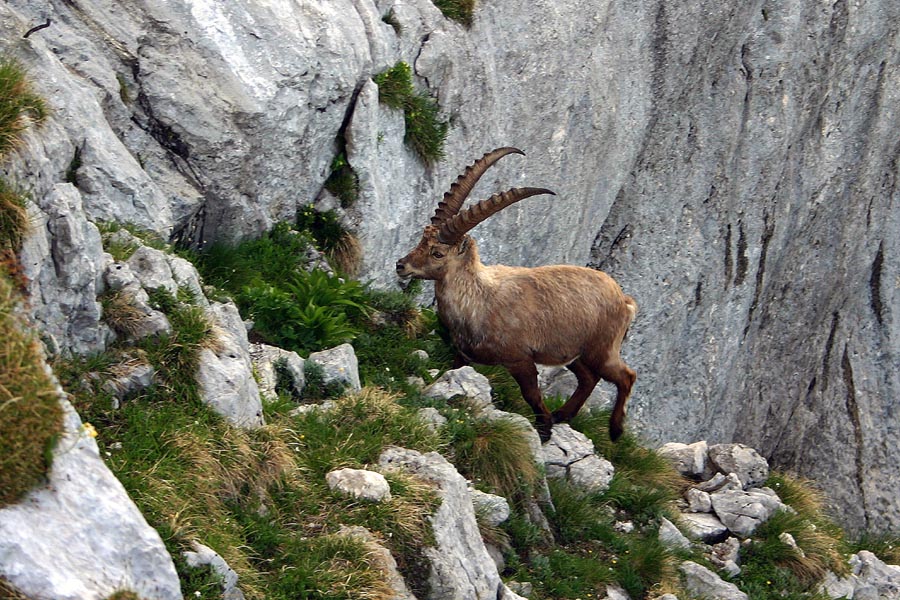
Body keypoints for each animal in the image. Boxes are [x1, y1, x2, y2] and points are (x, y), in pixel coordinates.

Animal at [396, 147, 637, 443]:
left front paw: (544, 431)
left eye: (438, 253)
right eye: (422, 239)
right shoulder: (463, 355)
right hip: (574, 352)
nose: (401, 265)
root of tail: (624, 301)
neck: (478, 299)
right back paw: (563, 415)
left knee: (626, 376)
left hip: (601, 349)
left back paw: (614, 430)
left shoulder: (520, 359)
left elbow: (531, 393)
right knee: (588, 379)